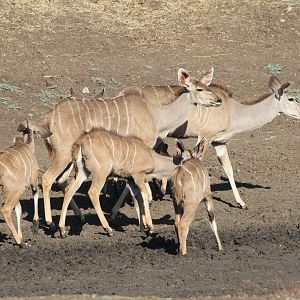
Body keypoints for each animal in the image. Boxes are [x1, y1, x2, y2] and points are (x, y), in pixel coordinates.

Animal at [58, 130, 190, 236]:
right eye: (187, 160)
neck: (153, 158)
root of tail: (80, 143)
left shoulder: (131, 180)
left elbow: (137, 198)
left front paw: (143, 228)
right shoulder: (138, 175)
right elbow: (145, 196)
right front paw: (150, 227)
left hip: (82, 172)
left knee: (69, 189)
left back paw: (62, 229)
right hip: (101, 173)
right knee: (93, 192)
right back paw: (108, 229)